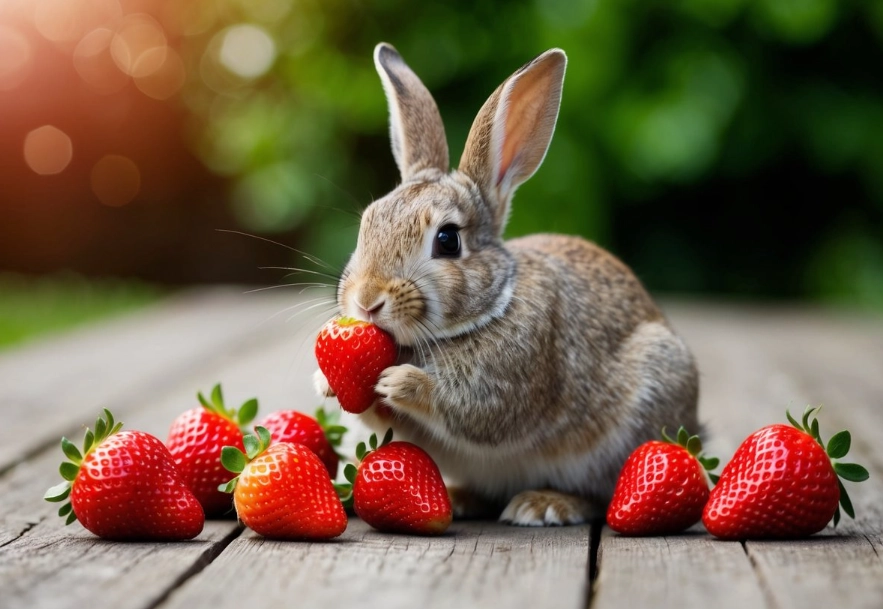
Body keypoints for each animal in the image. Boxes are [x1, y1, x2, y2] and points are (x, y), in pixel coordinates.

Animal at [313, 42, 700, 526]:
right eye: (367, 223)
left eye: (447, 240)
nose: (366, 301)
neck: (489, 307)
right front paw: (326, 384)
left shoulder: (511, 380)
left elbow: (473, 412)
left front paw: (402, 384)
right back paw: (461, 498)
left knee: (605, 491)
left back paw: (544, 504)